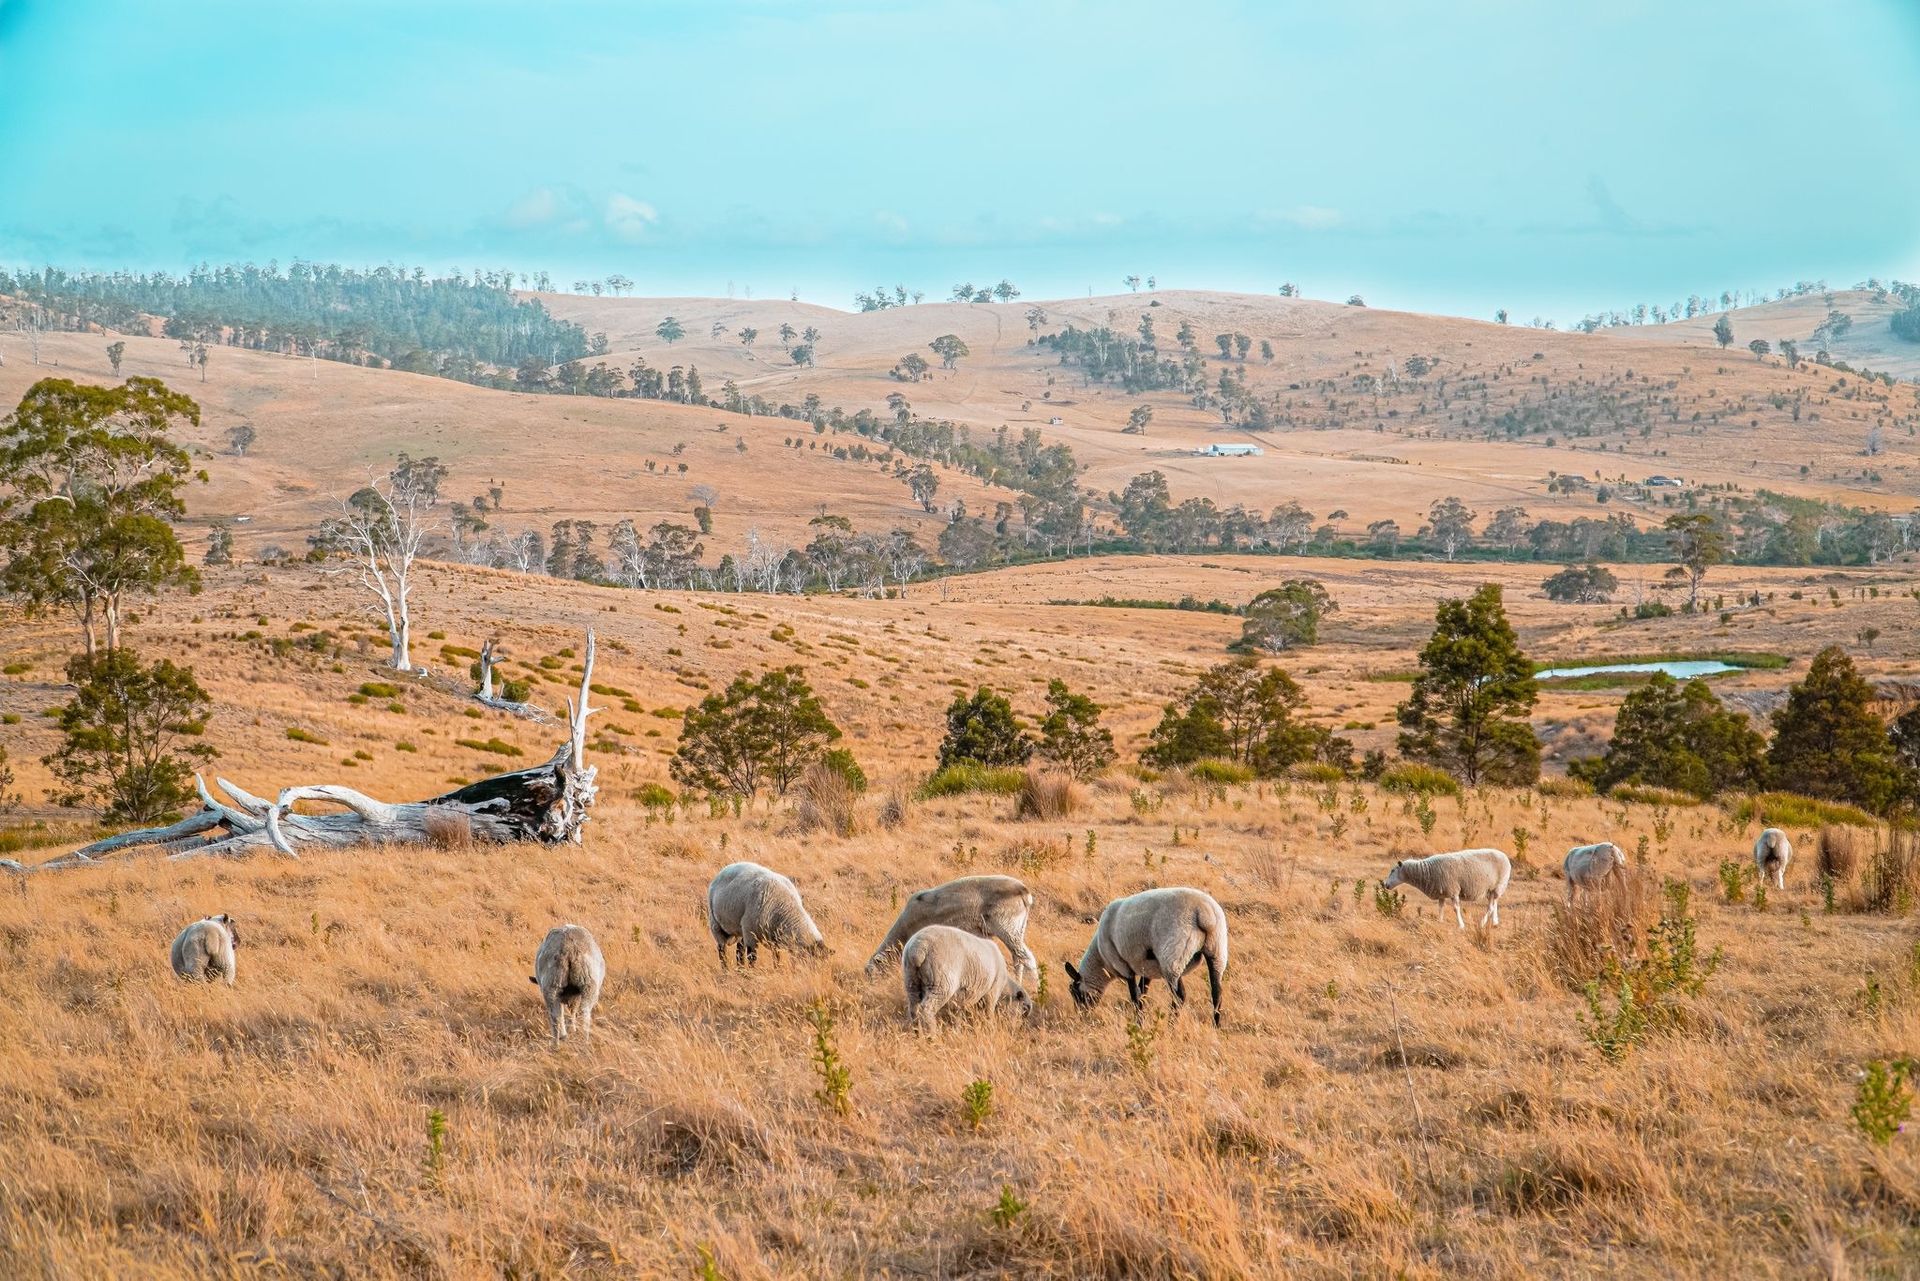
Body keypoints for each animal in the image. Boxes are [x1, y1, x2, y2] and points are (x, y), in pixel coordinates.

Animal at [864, 874, 1036, 985]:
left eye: (873, 974)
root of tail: (1024, 891)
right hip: (1018, 928)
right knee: (1019, 959)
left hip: (1007, 926)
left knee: (1027, 958)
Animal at [900, 924, 1032, 1029]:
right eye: (1024, 1009)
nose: (1016, 1028)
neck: (1005, 986)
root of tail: (918, 949)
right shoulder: (992, 992)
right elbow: (988, 1012)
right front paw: (990, 1027)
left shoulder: (963, 996)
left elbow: (958, 1013)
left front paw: (957, 1028)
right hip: (941, 983)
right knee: (927, 1009)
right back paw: (932, 1035)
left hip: (911, 979)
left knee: (913, 1008)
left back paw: (917, 1031)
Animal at [1063, 887, 1229, 1026]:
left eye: (1074, 992)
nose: (1082, 1016)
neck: (1102, 960)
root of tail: (1203, 913)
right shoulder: (1146, 966)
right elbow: (1143, 993)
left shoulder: (1123, 966)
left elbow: (1135, 996)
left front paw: (1139, 1023)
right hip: (1217, 950)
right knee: (1217, 992)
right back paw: (1216, 1026)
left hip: (1173, 956)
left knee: (1179, 996)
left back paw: (1171, 1026)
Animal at [1383, 848, 1512, 928]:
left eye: (1392, 870)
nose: (1385, 885)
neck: (1427, 871)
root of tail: (1504, 856)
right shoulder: (1441, 892)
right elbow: (1440, 908)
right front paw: (1439, 921)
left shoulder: (1453, 890)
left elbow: (1456, 908)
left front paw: (1461, 925)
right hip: (1492, 890)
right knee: (1495, 904)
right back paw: (1495, 922)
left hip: (1498, 885)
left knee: (1490, 907)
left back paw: (1482, 923)